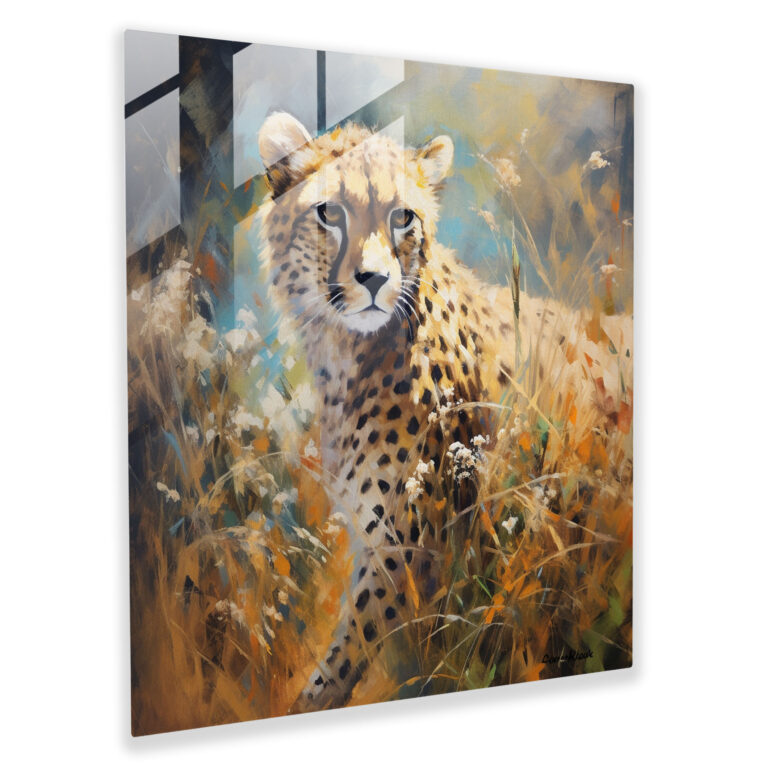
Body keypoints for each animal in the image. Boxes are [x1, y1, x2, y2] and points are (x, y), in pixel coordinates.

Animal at [256, 112, 632, 713]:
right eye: (330, 213)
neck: (348, 354)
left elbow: (344, 657)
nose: (373, 279)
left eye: (402, 217)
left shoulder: (407, 549)